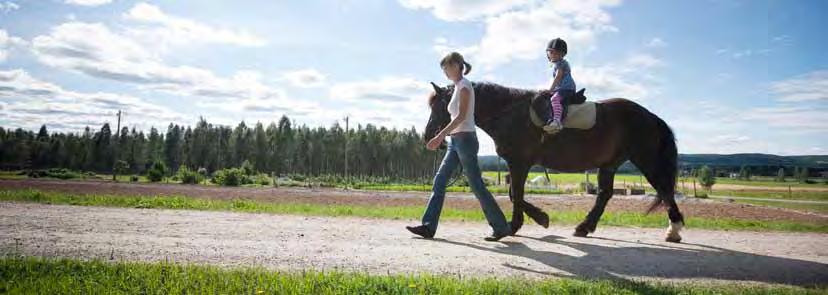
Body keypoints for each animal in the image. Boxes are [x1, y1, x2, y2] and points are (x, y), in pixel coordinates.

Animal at [424, 81, 684, 243]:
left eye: (443, 105)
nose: (429, 137)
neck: (510, 114)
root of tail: (649, 116)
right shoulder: (518, 164)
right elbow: (514, 194)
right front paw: (536, 219)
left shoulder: (519, 163)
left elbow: (515, 194)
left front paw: (521, 224)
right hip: (609, 164)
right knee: (604, 194)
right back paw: (584, 227)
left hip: (646, 160)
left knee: (664, 190)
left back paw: (674, 231)